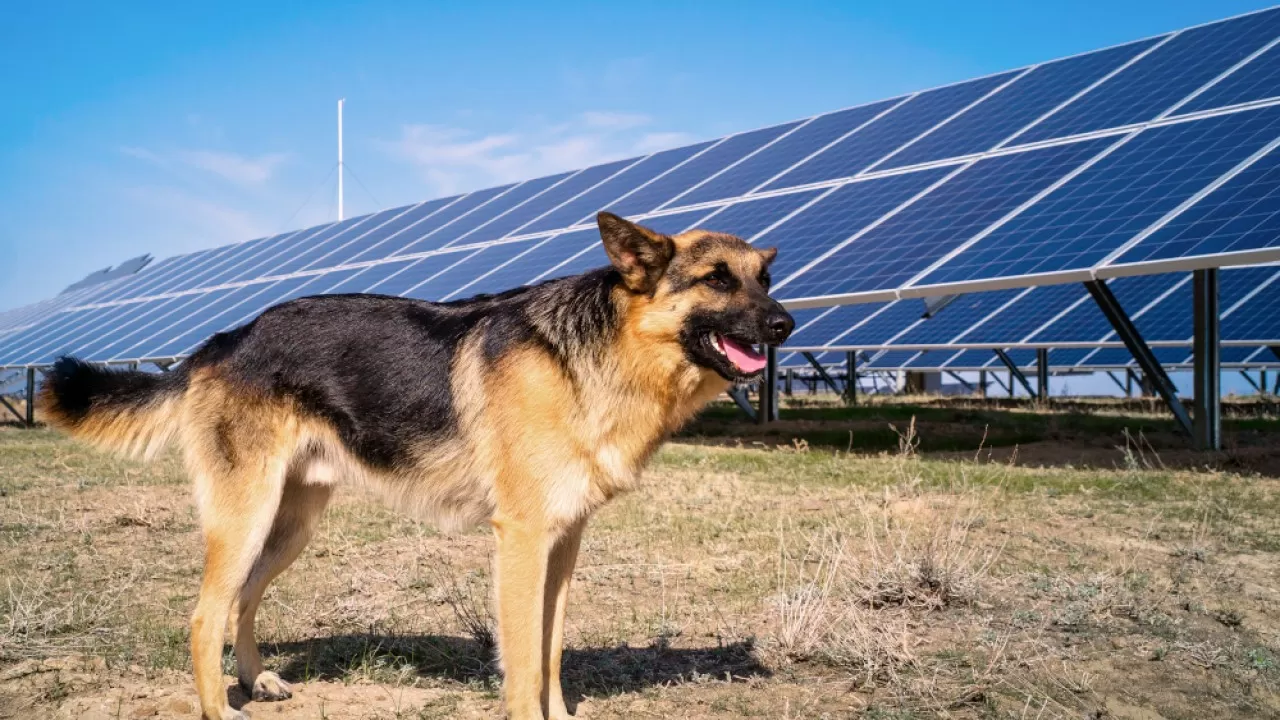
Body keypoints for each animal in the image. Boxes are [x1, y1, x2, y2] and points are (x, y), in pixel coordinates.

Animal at [40, 210, 788, 712]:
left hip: (289, 527)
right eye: (716, 280)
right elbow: (523, 663)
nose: (785, 325)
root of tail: (224, 340)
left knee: (241, 600)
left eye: (765, 278)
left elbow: (550, 654)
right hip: (245, 518)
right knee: (202, 618)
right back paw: (222, 708)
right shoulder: (522, 542)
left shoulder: (563, 543)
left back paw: (257, 680)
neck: (598, 353)